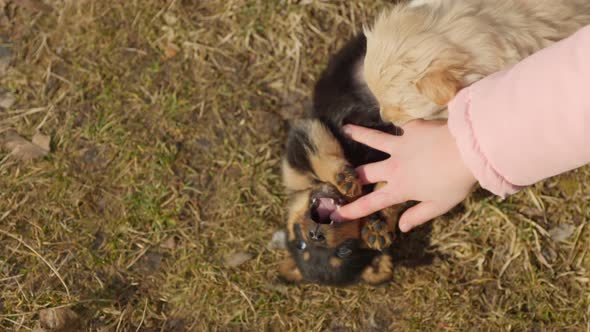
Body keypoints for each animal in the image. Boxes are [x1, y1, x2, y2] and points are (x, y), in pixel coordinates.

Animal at [280, 35, 410, 286]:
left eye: (345, 251)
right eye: (301, 245)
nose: (315, 234)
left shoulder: (303, 139)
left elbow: (322, 155)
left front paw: (344, 178)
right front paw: (376, 228)